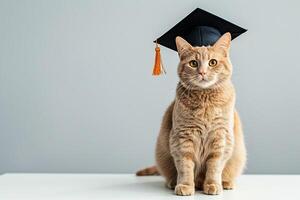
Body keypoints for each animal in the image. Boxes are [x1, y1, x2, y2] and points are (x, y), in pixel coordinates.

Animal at [137, 32, 247, 195]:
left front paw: (213, 185)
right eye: (193, 63)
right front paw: (185, 185)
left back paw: (226, 183)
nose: (202, 72)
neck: (205, 100)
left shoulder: (220, 137)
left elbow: (214, 167)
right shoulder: (182, 137)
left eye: (213, 62)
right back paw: (172, 183)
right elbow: (185, 166)